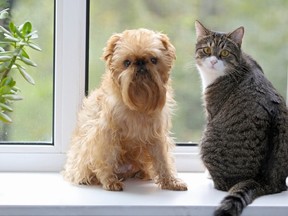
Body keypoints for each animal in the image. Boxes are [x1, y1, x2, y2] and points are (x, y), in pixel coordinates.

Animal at [195, 19, 286, 215]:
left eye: (224, 53)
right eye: (206, 50)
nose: (213, 61)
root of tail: (262, 181)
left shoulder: (211, 111)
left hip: (208, 138)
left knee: (222, 185)